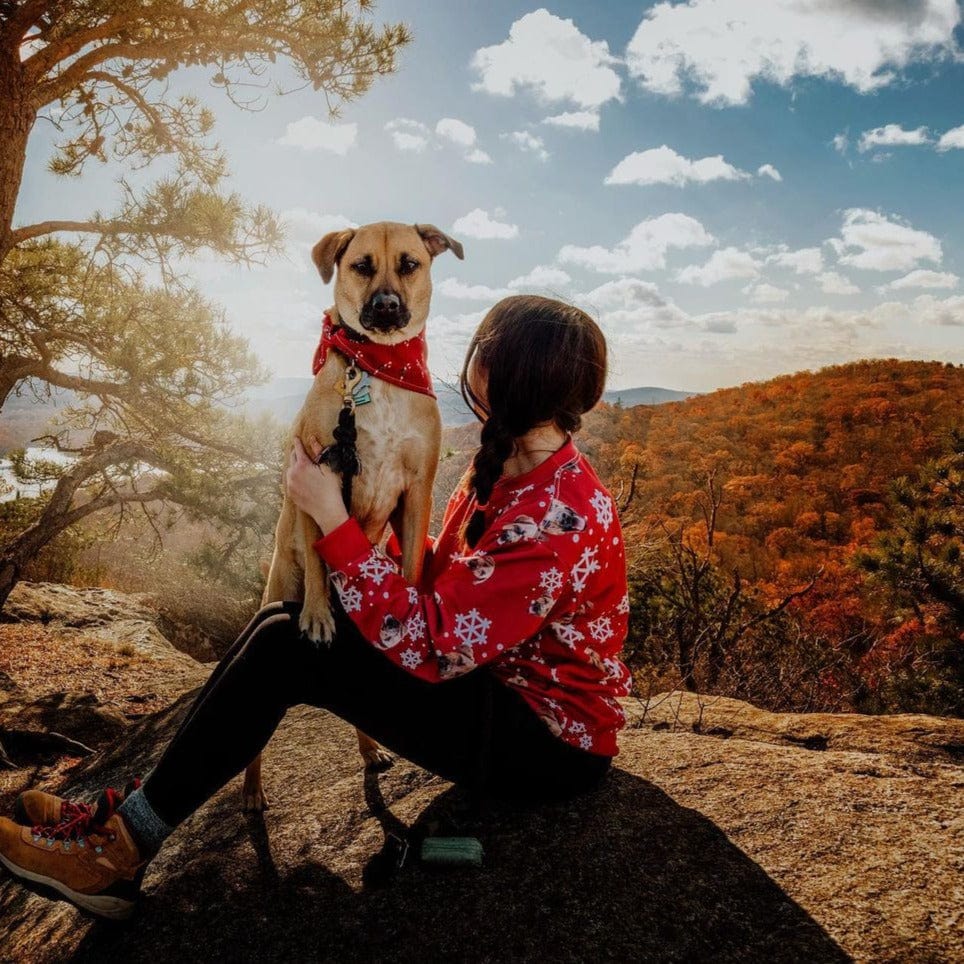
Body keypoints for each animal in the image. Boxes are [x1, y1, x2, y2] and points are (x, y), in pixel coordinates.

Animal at [243, 222, 466, 808]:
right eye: (361, 265)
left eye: (410, 263)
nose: (386, 306)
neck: (382, 371)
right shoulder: (314, 476)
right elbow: (321, 558)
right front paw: (319, 616)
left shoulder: (418, 492)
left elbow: (410, 567)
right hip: (280, 584)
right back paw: (250, 790)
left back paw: (371, 752)